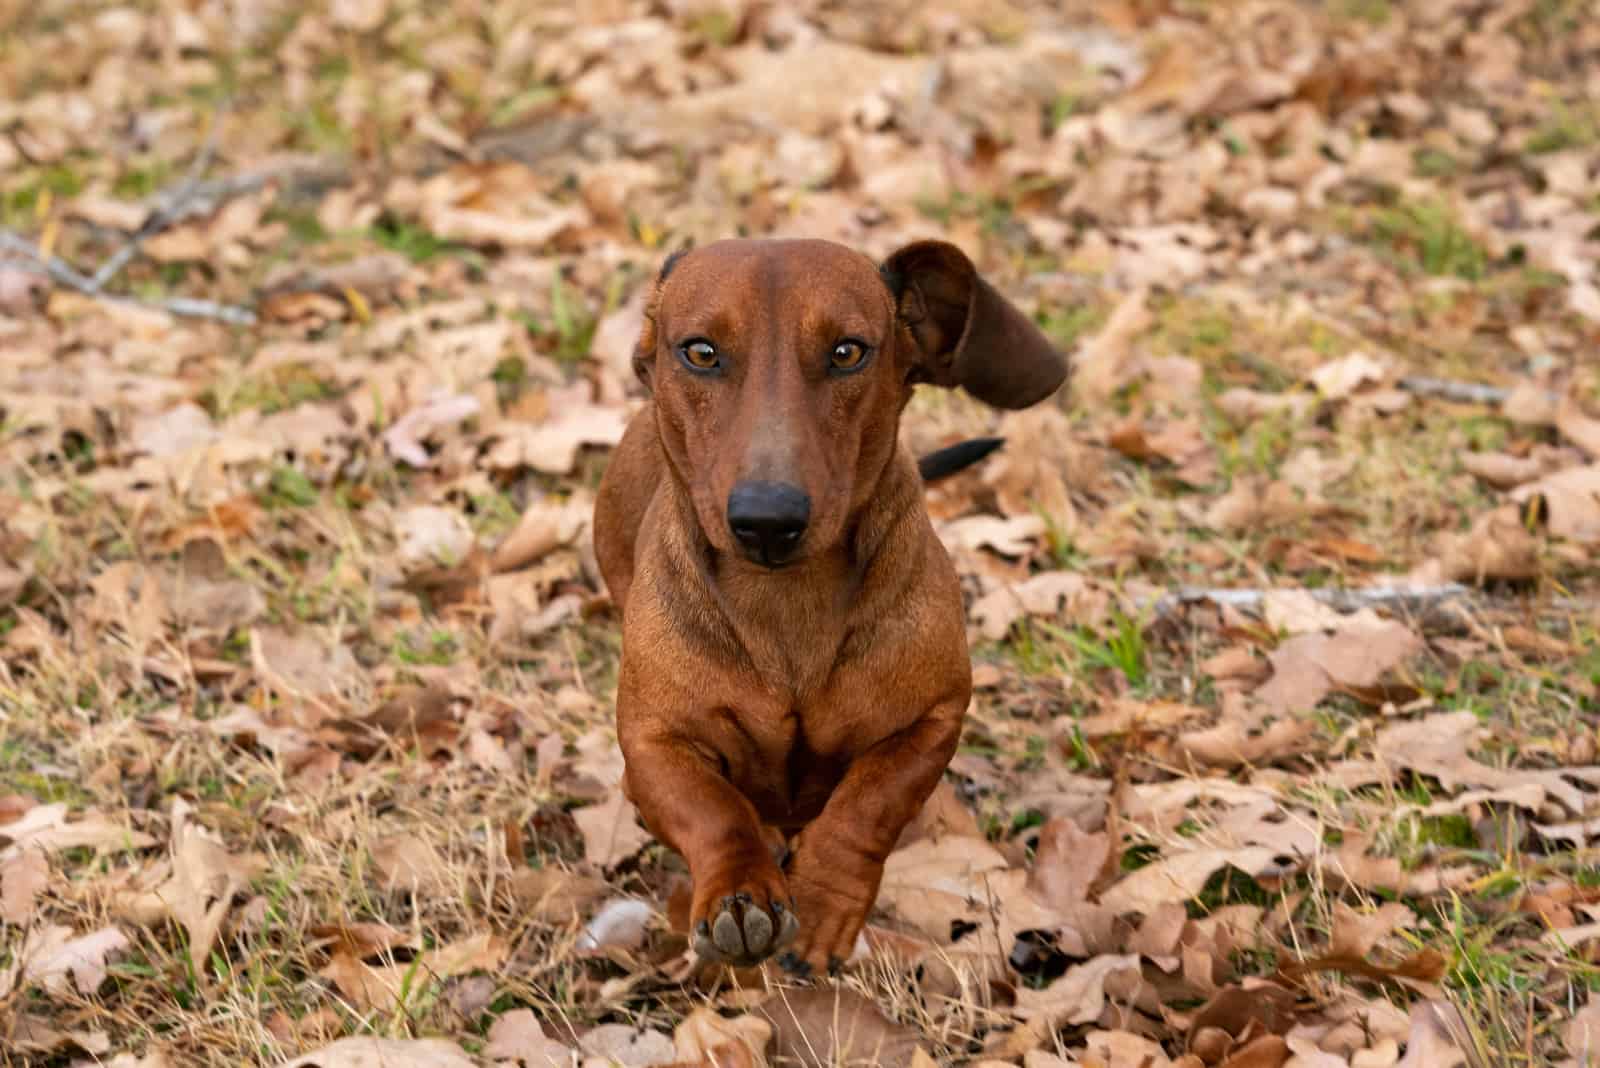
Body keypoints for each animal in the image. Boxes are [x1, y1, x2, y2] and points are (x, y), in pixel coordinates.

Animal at [595, 239, 1068, 978]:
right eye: (700, 352)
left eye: (848, 352)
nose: (767, 520)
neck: (787, 604)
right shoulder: (652, 742)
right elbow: (713, 811)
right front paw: (740, 890)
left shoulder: (933, 719)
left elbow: (865, 809)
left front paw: (820, 906)